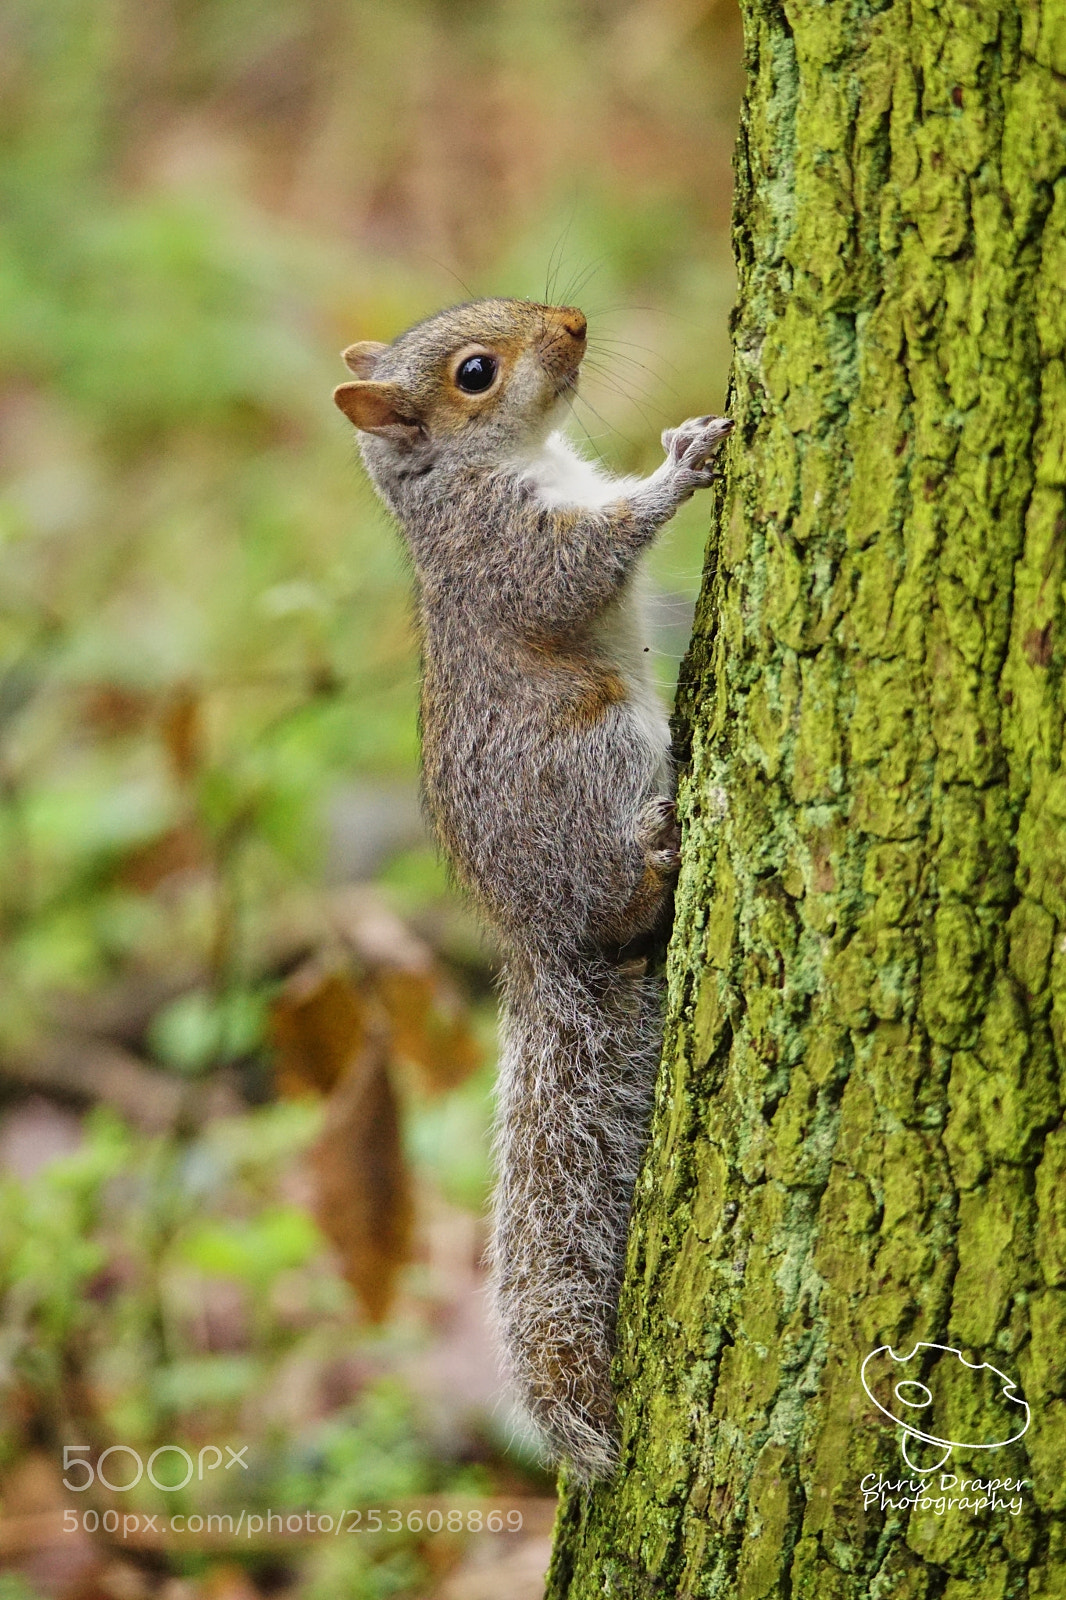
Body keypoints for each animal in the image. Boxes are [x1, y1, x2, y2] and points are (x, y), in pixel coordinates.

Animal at [333, 298, 731, 1481]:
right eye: (476, 372)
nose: (576, 320)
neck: (516, 459)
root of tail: (541, 940)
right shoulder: (509, 549)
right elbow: (587, 561)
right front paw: (683, 466)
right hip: (593, 755)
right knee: (621, 902)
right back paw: (656, 851)